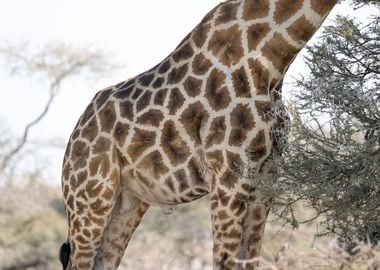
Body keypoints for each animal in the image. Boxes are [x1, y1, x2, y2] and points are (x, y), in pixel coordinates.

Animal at [60, 1, 336, 268]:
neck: (274, 57)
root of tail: (74, 134)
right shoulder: (228, 173)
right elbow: (224, 261)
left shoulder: (267, 174)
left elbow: (249, 258)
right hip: (90, 196)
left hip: (127, 202)